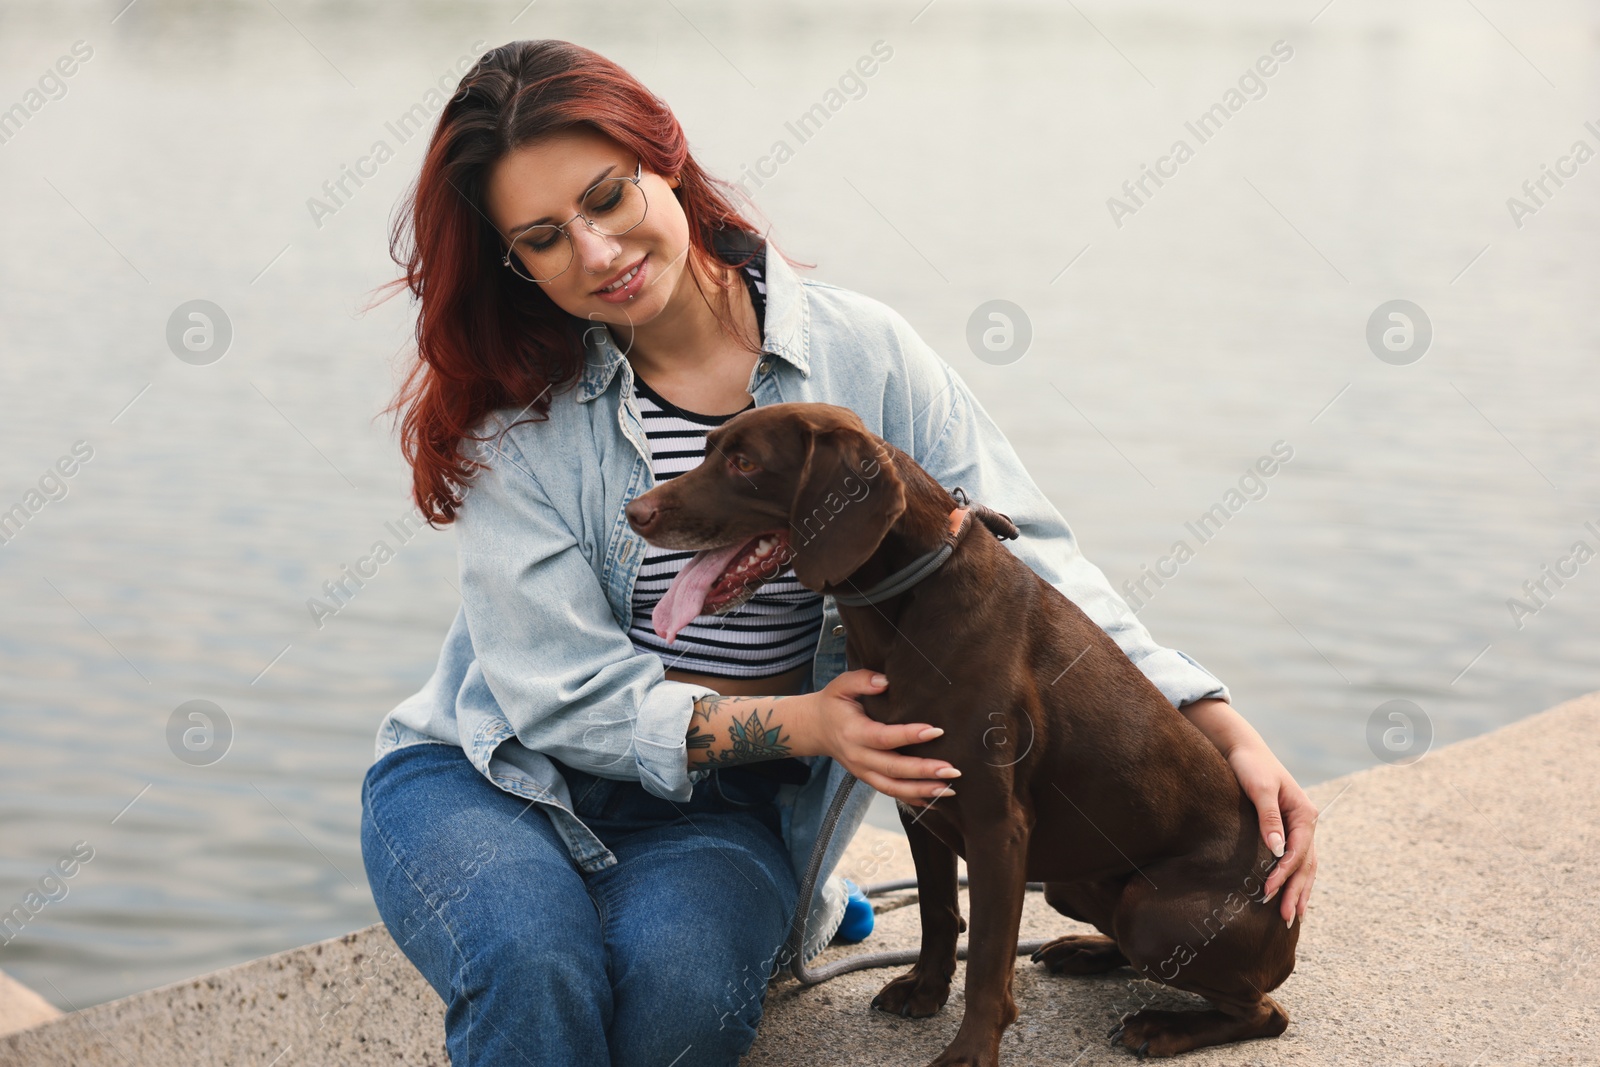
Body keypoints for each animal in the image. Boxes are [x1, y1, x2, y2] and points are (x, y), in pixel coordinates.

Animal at [624, 403, 1299, 1067]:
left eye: (745, 463)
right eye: (709, 449)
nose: (636, 513)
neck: (907, 608)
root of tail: (1288, 936)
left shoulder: (996, 828)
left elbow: (989, 965)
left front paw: (970, 1052)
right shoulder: (919, 804)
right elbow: (939, 911)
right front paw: (925, 989)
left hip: (1153, 914)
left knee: (1263, 1012)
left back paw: (1160, 1026)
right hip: (1070, 884)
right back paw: (1086, 951)